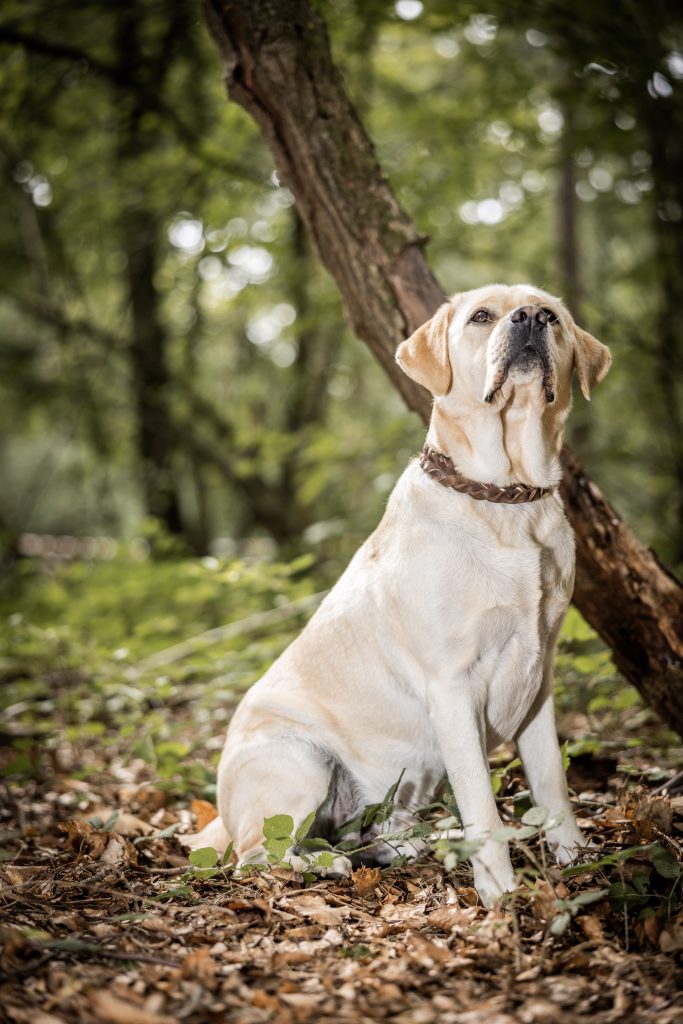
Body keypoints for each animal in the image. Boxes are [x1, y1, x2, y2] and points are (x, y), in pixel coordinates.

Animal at [184, 286, 610, 905]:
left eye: (551, 316)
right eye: (481, 316)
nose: (530, 318)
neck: (506, 498)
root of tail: (221, 810)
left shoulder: (540, 678)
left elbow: (553, 782)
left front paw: (575, 858)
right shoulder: (453, 686)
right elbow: (483, 806)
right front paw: (501, 895)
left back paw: (402, 848)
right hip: (300, 760)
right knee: (256, 857)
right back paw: (325, 866)